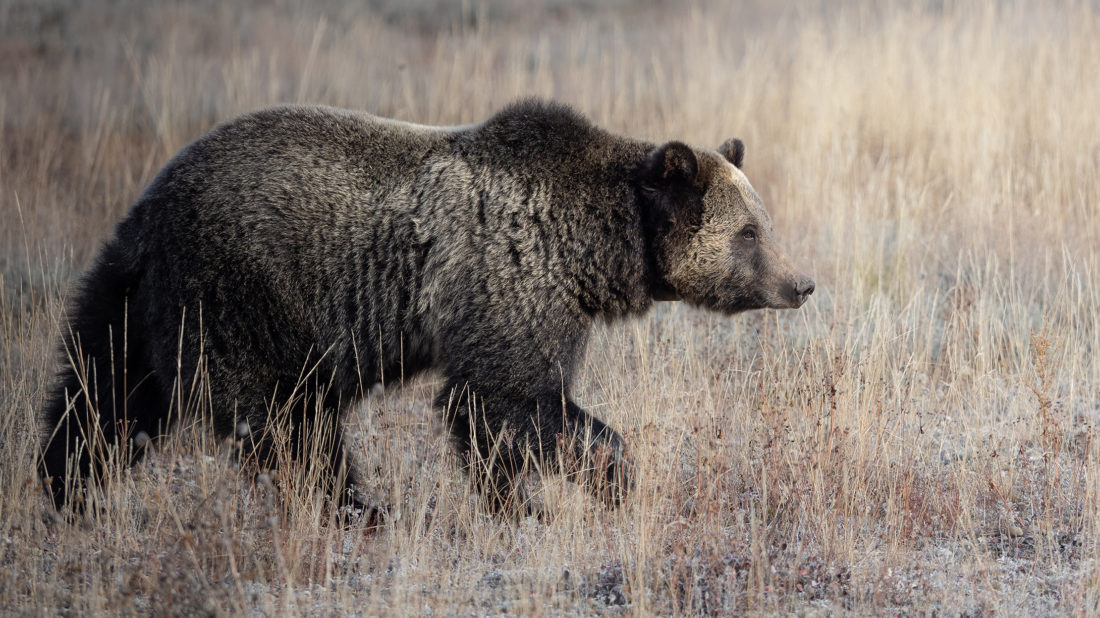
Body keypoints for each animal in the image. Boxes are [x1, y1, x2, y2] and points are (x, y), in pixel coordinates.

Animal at [39, 99, 814, 517]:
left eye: (766, 222)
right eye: (749, 233)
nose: (802, 283)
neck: (594, 247)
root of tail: (151, 210)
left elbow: (488, 421)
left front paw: (515, 502)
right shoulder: (510, 278)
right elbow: (508, 401)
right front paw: (603, 484)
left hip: (136, 300)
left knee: (99, 398)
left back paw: (63, 495)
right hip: (243, 293)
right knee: (287, 426)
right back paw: (361, 511)